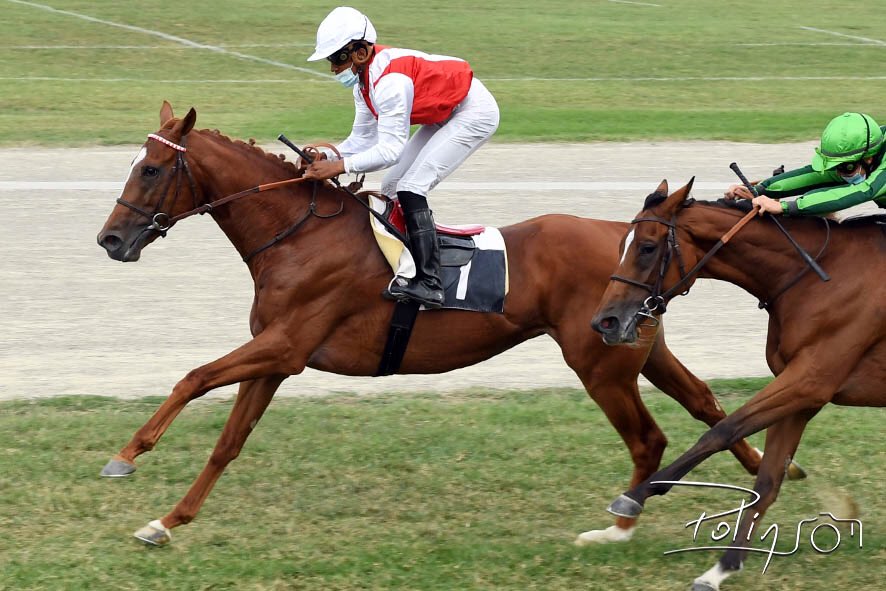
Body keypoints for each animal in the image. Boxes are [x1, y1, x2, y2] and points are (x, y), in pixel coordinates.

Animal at [96, 102, 766, 547]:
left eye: (151, 170)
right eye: (133, 163)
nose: (110, 240)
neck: (298, 234)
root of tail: (629, 235)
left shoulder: (283, 346)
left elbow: (193, 377)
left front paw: (126, 456)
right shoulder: (277, 357)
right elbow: (228, 442)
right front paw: (167, 520)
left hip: (601, 366)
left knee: (649, 439)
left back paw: (622, 525)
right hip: (637, 345)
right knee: (709, 406)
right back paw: (772, 478)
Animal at [591, 178, 885, 590]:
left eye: (647, 247)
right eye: (621, 245)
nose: (605, 321)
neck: (821, 274)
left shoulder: (811, 378)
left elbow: (723, 431)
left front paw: (635, 495)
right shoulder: (803, 392)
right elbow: (767, 479)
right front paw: (722, 568)